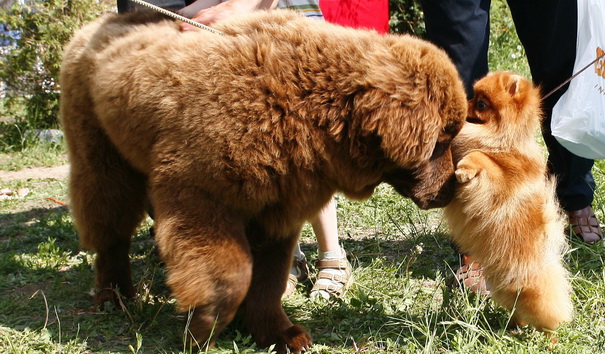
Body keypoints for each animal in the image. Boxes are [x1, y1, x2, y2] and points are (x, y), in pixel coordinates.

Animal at [60, 9, 468, 352]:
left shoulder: (280, 202)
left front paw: (279, 333)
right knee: (108, 221)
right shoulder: (200, 192)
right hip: (101, 150)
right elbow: (233, 272)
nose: (451, 187)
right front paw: (206, 323)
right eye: (441, 139)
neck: (309, 113)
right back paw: (114, 295)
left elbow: (269, 278)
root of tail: (100, 25)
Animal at [444, 72, 572, 332]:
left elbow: (482, 157)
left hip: (535, 292)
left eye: (482, 104)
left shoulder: (500, 182)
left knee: (546, 314)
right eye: (473, 96)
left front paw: (465, 169)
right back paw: (512, 326)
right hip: (504, 290)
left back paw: (550, 334)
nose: (465, 102)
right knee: (516, 309)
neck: (503, 141)